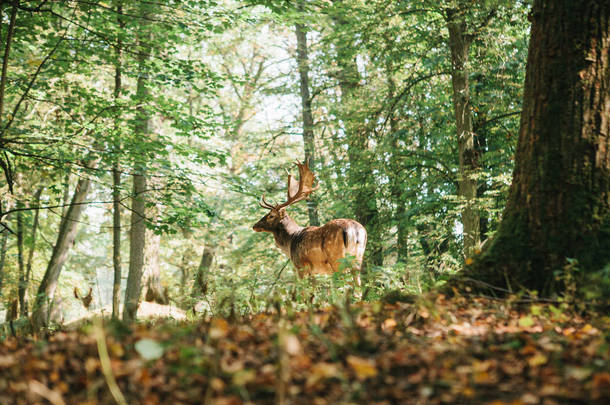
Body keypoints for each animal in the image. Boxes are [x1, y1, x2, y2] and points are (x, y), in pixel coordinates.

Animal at [252, 160, 366, 288]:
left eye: (271, 215)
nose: (255, 226)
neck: (290, 241)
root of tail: (355, 230)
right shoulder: (315, 271)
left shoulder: (301, 266)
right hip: (358, 258)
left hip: (337, 259)